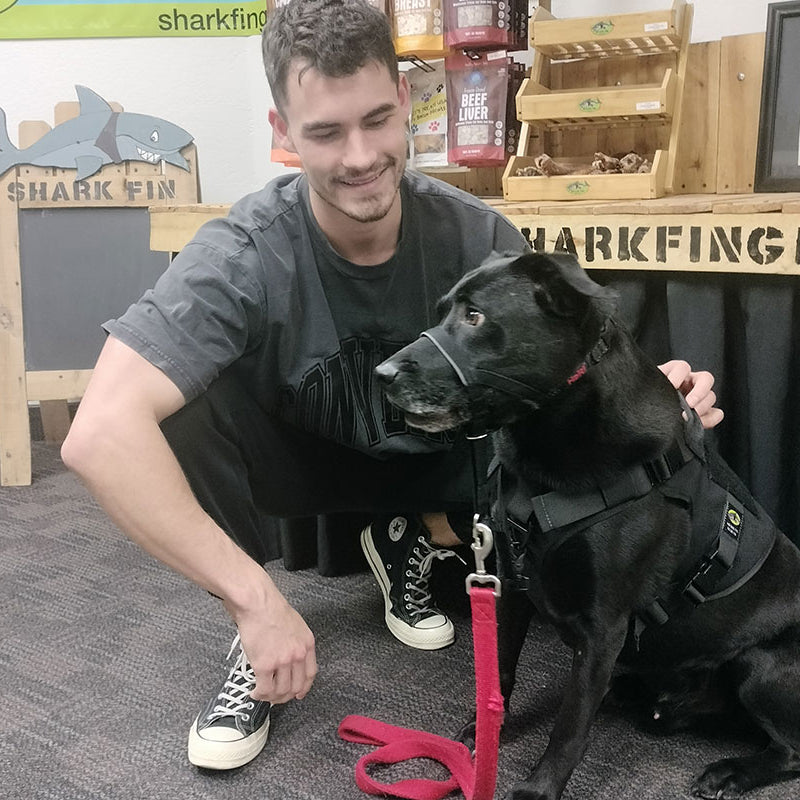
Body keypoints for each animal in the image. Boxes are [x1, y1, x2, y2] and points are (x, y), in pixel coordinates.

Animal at [376, 253, 800, 800]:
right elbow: (501, 672)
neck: (546, 448)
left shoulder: (604, 625)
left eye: (475, 317)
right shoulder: (508, 584)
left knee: (791, 749)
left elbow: (571, 722)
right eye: (444, 310)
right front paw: (487, 732)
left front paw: (538, 788)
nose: (382, 373)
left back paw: (730, 772)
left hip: (763, 664)